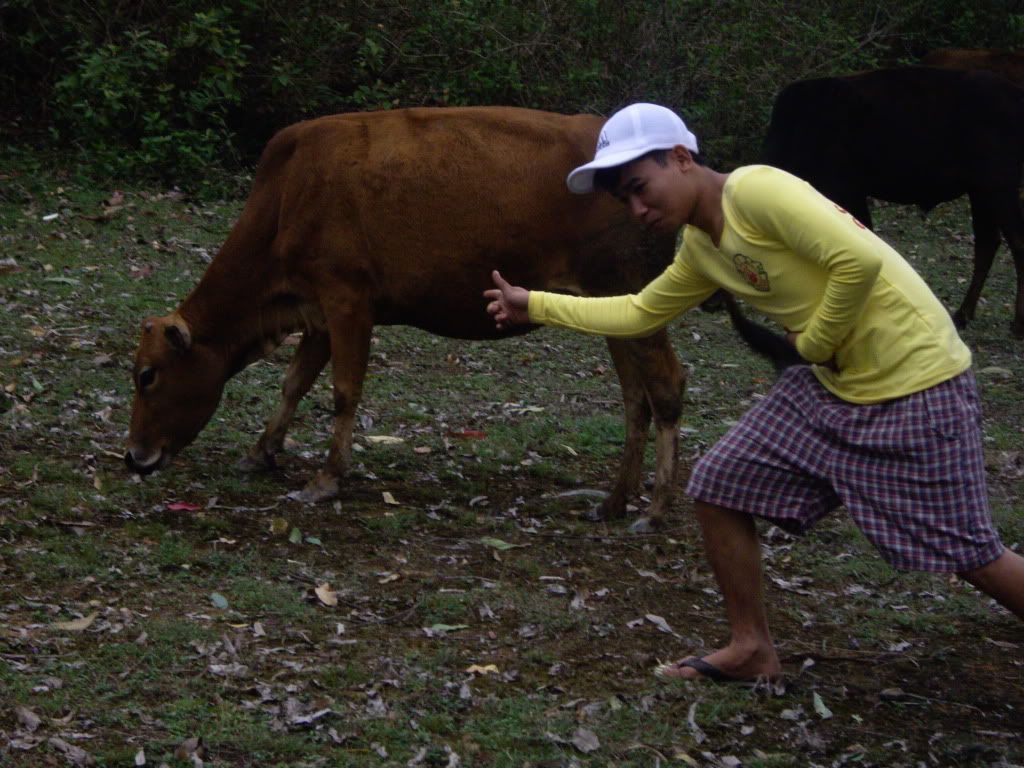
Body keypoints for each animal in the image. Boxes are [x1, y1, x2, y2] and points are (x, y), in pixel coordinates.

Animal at [125, 105, 688, 532]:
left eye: (147, 375)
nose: (134, 456)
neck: (284, 197)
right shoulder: (318, 311)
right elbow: (294, 382)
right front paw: (262, 451)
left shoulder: (348, 297)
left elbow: (343, 391)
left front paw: (327, 479)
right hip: (613, 309)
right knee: (634, 398)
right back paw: (614, 500)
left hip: (633, 292)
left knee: (666, 386)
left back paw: (658, 508)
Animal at [761, 67, 1024, 337]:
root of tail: (1016, 95)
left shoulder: (847, 190)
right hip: (981, 191)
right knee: (987, 243)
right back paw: (962, 315)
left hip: (998, 186)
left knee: (1016, 244)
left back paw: (1017, 324)